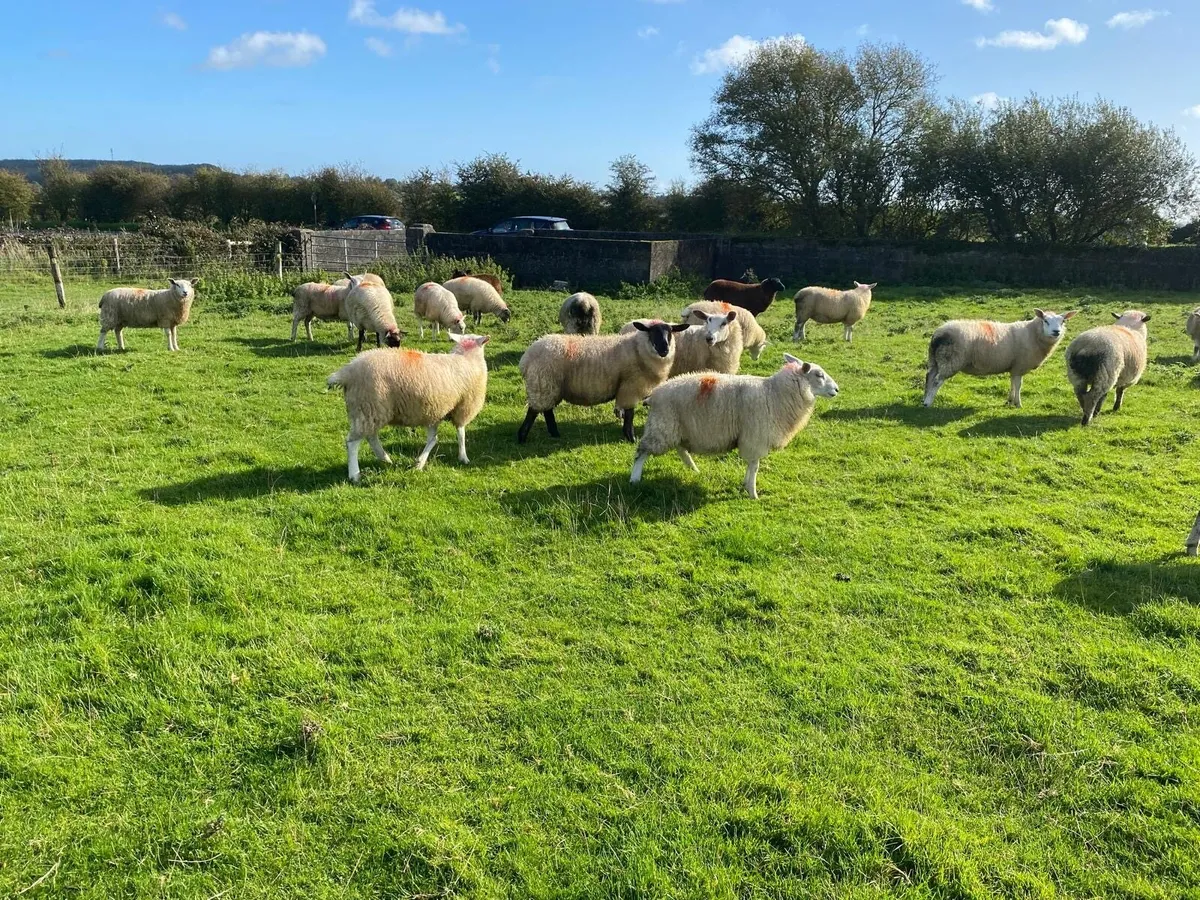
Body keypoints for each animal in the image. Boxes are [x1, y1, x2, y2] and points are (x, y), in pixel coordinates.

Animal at [326, 332, 491, 483]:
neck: (466, 357)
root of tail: (347, 371)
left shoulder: (434, 411)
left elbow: (433, 439)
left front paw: (419, 463)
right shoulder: (463, 407)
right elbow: (461, 434)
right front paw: (463, 457)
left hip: (368, 410)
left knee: (371, 437)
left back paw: (385, 459)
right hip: (369, 406)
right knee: (352, 442)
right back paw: (355, 474)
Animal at [517, 321, 689, 444]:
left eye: (670, 333)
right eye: (652, 332)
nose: (664, 349)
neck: (637, 349)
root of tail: (526, 358)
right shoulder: (630, 387)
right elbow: (630, 414)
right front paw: (631, 437)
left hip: (549, 386)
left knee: (547, 410)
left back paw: (554, 433)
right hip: (543, 383)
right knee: (534, 411)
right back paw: (522, 437)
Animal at [631, 355, 839, 500]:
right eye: (819, 375)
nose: (837, 389)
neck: (774, 394)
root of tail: (653, 395)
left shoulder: (752, 438)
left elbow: (751, 466)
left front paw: (746, 485)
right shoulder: (756, 437)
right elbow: (754, 466)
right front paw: (753, 493)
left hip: (677, 427)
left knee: (681, 449)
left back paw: (693, 469)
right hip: (662, 425)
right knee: (642, 451)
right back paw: (634, 479)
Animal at [923, 309, 1077, 408]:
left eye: (1063, 321)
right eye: (1045, 321)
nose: (1056, 332)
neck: (1032, 334)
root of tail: (938, 334)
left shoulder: (1014, 367)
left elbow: (1012, 383)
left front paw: (1010, 401)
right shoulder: (1020, 365)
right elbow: (1018, 385)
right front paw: (1018, 404)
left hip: (935, 359)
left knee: (929, 377)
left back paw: (924, 400)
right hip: (950, 360)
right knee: (936, 381)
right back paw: (928, 402)